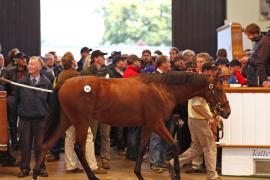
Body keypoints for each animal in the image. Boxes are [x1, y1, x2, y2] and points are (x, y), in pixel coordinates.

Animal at [31, 71, 230, 180]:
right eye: (219, 89)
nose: (227, 111)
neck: (162, 89)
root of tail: (65, 82)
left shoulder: (148, 125)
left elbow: (142, 148)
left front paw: (139, 174)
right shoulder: (157, 124)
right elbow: (174, 145)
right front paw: (175, 174)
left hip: (66, 120)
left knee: (46, 144)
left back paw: (35, 174)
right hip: (81, 122)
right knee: (79, 148)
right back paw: (93, 177)